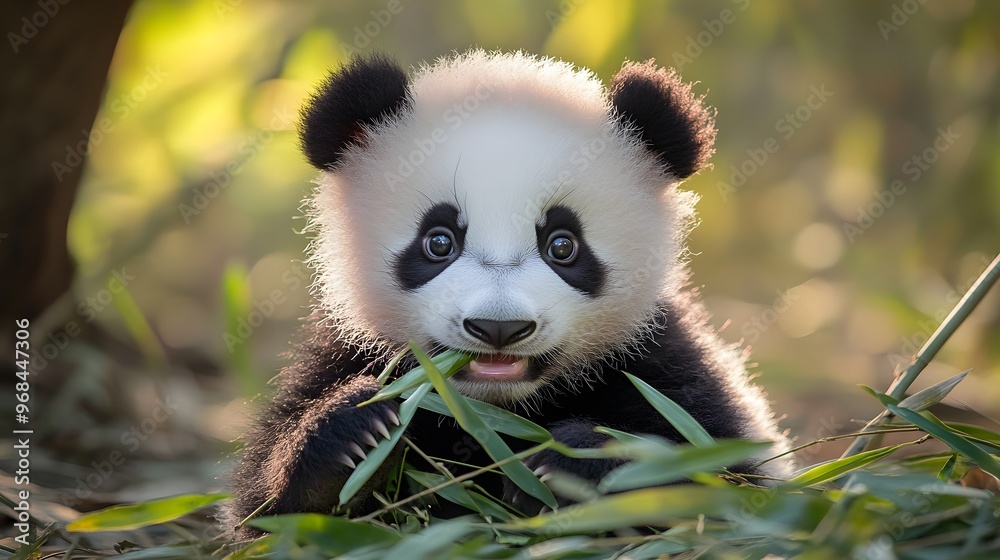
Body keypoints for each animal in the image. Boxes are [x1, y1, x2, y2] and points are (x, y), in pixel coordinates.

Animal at [227, 50, 793, 532]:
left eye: (563, 245)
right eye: (439, 241)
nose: (499, 328)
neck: (494, 410)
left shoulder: (660, 363)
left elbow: (717, 476)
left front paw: (568, 462)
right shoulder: (345, 352)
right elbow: (260, 514)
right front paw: (354, 434)